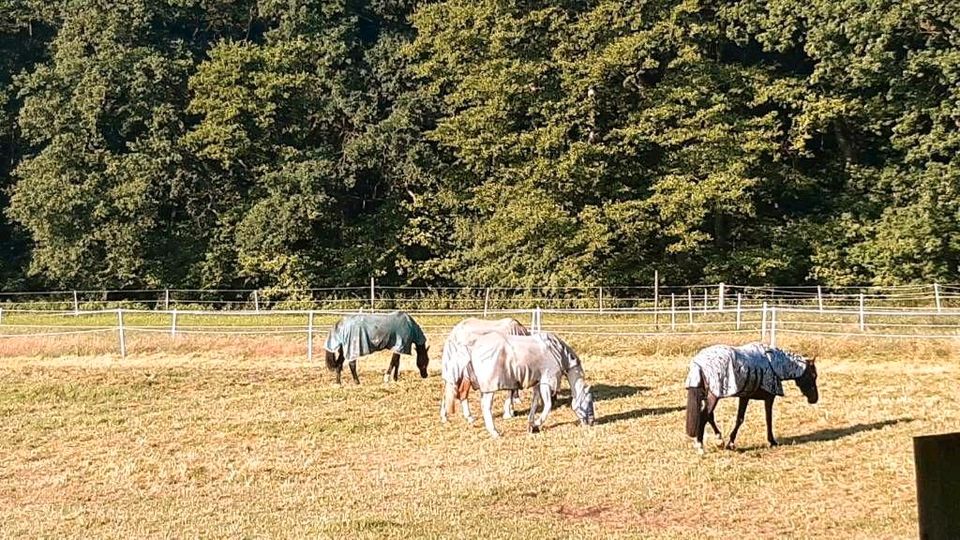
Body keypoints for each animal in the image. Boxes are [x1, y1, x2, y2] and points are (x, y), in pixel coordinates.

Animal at [464, 330, 592, 438]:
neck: (557, 352)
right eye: (589, 400)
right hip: (490, 389)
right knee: (486, 407)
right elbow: (548, 405)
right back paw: (495, 432)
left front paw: (531, 425)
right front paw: (537, 423)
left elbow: (534, 404)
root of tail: (474, 347)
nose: (591, 421)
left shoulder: (538, 383)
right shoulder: (547, 382)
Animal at [684, 344, 816, 454]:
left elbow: (740, 419)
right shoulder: (769, 398)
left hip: (707, 396)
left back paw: (719, 440)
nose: (814, 399)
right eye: (813, 375)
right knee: (704, 416)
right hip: (713, 397)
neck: (772, 363)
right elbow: (768, 418)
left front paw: (729, 442)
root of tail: (698, 363)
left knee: (709, 416)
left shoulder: (745, 397)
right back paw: (700, 446)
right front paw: (772, 441)